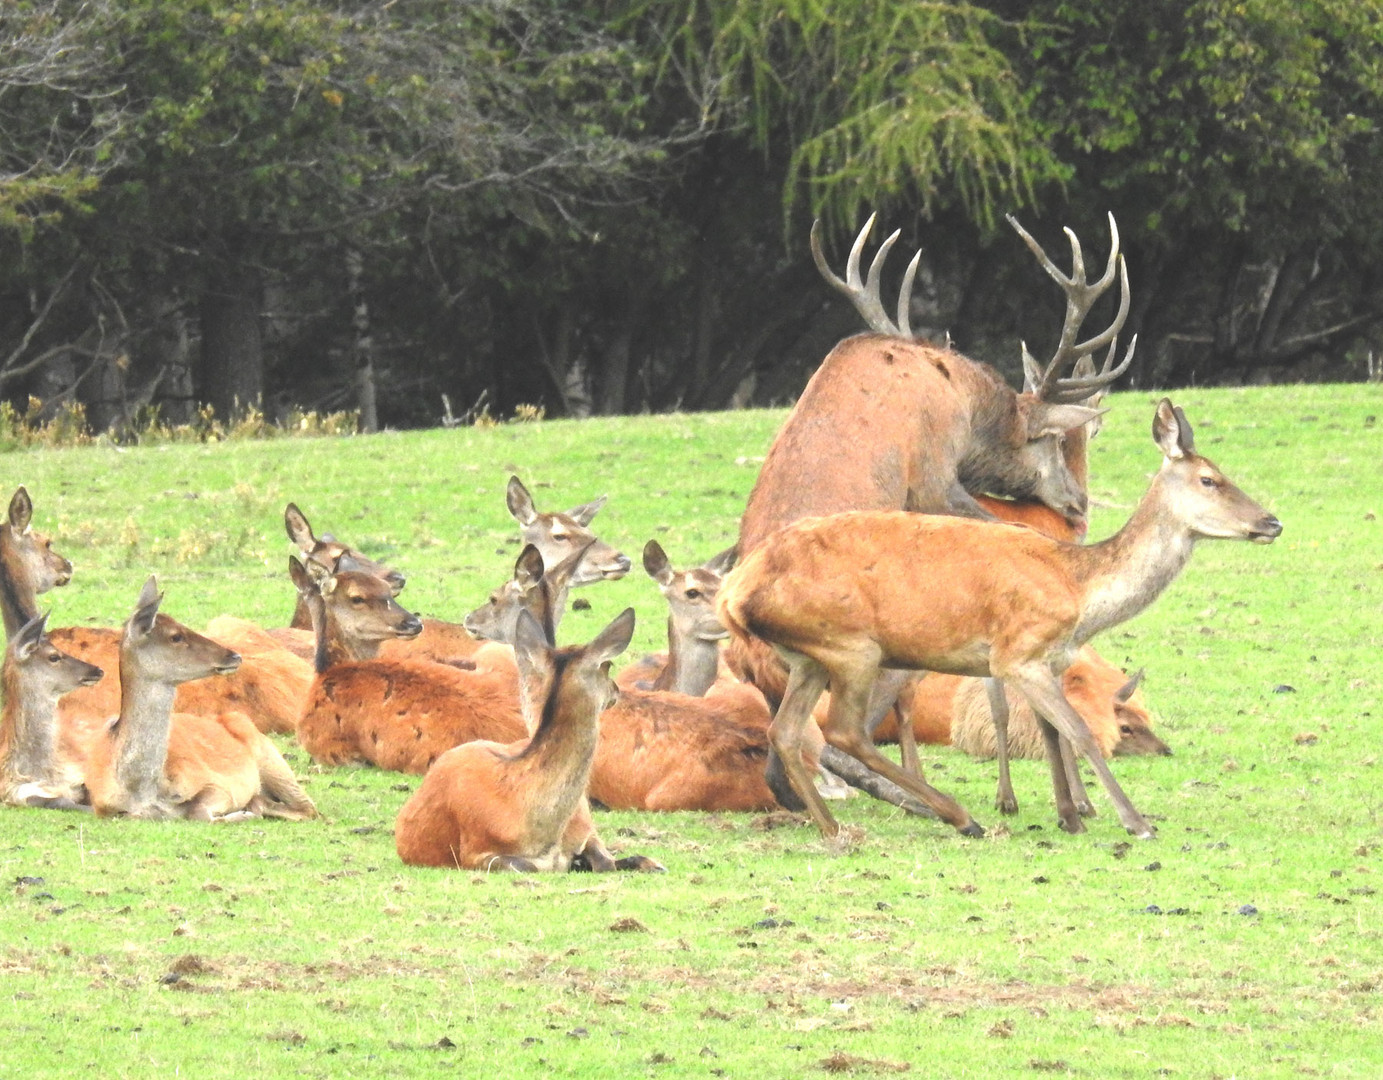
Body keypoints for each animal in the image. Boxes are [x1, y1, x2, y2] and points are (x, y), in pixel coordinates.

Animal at [81, 580, 318, 818]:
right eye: (176, 636)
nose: (234, 655)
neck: (141, 791)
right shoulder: (103, 807)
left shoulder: (216, 783)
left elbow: (197, 810)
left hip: (272, 759)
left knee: (309, 809)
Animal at [395, 611, 663, 873]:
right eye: (607, 665)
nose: (616, 690)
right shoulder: (474, 850)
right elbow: (527, 866)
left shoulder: (584, 836)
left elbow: (606, 861)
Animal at [719, 398, 1277, 840]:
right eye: (1210, 479)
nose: (1272, 522)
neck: (1079, 591)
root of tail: (733, 590)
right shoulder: (1018, 652)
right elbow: (1077, 729)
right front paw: (1134, 822)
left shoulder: (1045, 660)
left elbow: (1051, 732)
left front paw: (1070, 815)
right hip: (852, 645)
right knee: (843, 732)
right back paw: (957, 816)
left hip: (807, 657)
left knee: (787, 730)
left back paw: (832, 827)